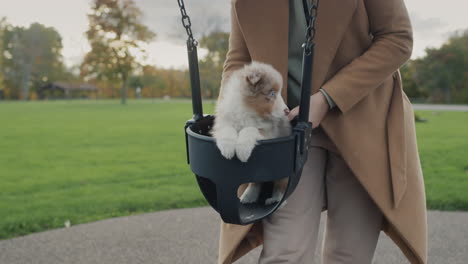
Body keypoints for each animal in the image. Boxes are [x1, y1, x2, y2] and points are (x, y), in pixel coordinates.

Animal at [212, 60, 292, 206]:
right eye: (272, 93)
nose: (287, 111)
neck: (248, 110)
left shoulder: (268, 132)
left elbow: (250, 129)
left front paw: (242, 151)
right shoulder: (223, 121)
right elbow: (228, 129)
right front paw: (228, 149)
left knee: (281, 184)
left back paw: (276, 199)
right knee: (256, 182)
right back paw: (249, 196)